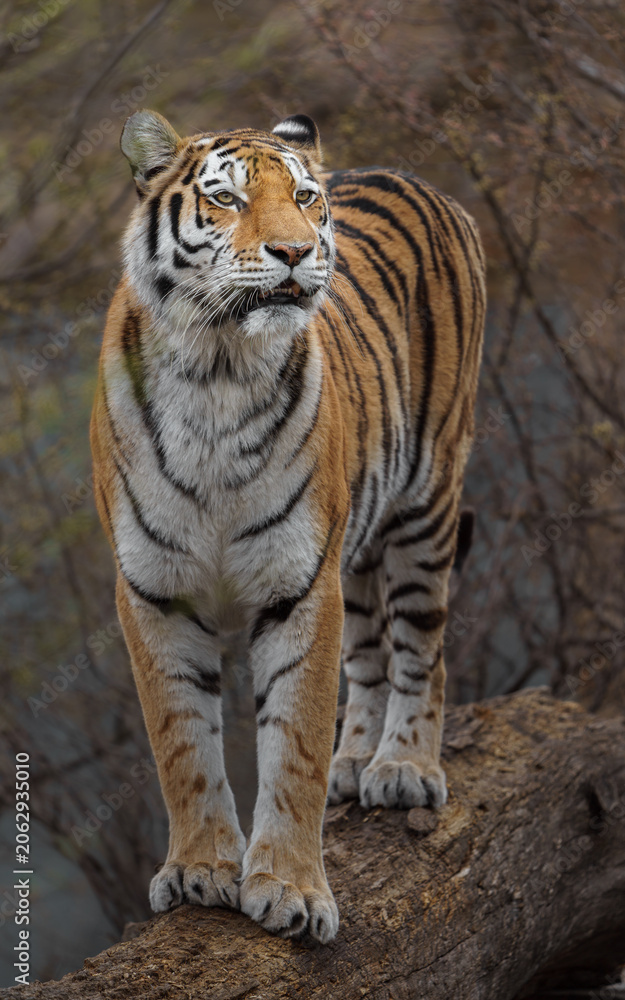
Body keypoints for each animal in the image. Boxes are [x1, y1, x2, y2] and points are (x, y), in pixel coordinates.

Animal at [90, 109, 486, 945]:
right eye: (225, 199)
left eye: (303, 198)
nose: (296, 251)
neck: (216, 372)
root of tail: (413, 177)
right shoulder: (152, 592)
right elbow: (181, 743)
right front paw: (199, 871)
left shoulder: (298, 584)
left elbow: (292, 744)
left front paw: (293, 891)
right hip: (356, 540)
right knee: (367, 652)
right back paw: (356, 760)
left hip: (426, 500)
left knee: (420, 648)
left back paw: (404, 769)